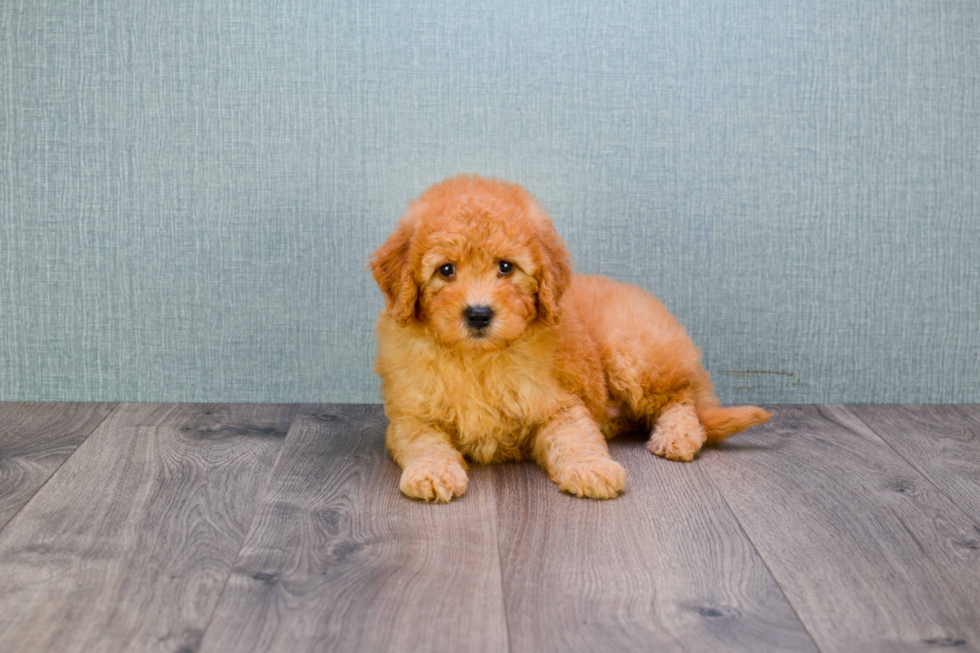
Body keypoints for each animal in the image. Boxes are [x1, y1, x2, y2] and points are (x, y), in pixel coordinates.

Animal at [370, 173, 772, 500]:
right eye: (446, 270)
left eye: (505, 267)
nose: (479, 314)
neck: (478, 358)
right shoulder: (411, 416)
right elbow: (425, 443)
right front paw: (432, 472)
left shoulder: (560, 404)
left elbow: (575, 437)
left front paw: (591, 468)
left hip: (634, 353)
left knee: (682, 398)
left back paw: (677, 435)